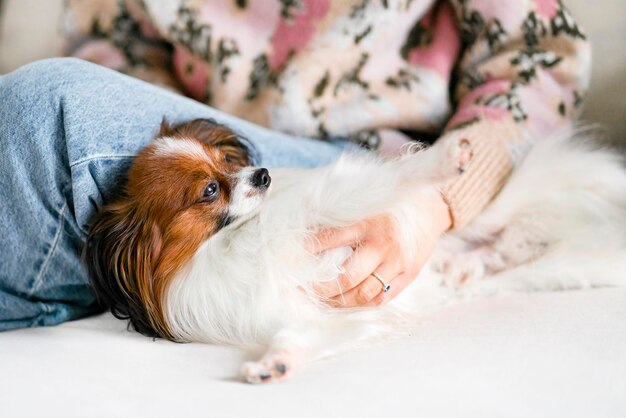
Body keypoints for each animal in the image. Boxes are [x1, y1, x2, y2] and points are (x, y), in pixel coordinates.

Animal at [84, 119, 624, 384]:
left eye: (226, 160)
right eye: (210, 190)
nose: (263, 174)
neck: (240, 242)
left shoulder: (334, 209)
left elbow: (391, 180)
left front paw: (442, 159)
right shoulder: (315, 310)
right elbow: (297, 336)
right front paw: (275, 365)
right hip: (548, 270)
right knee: (508, 257)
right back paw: (466, 265)